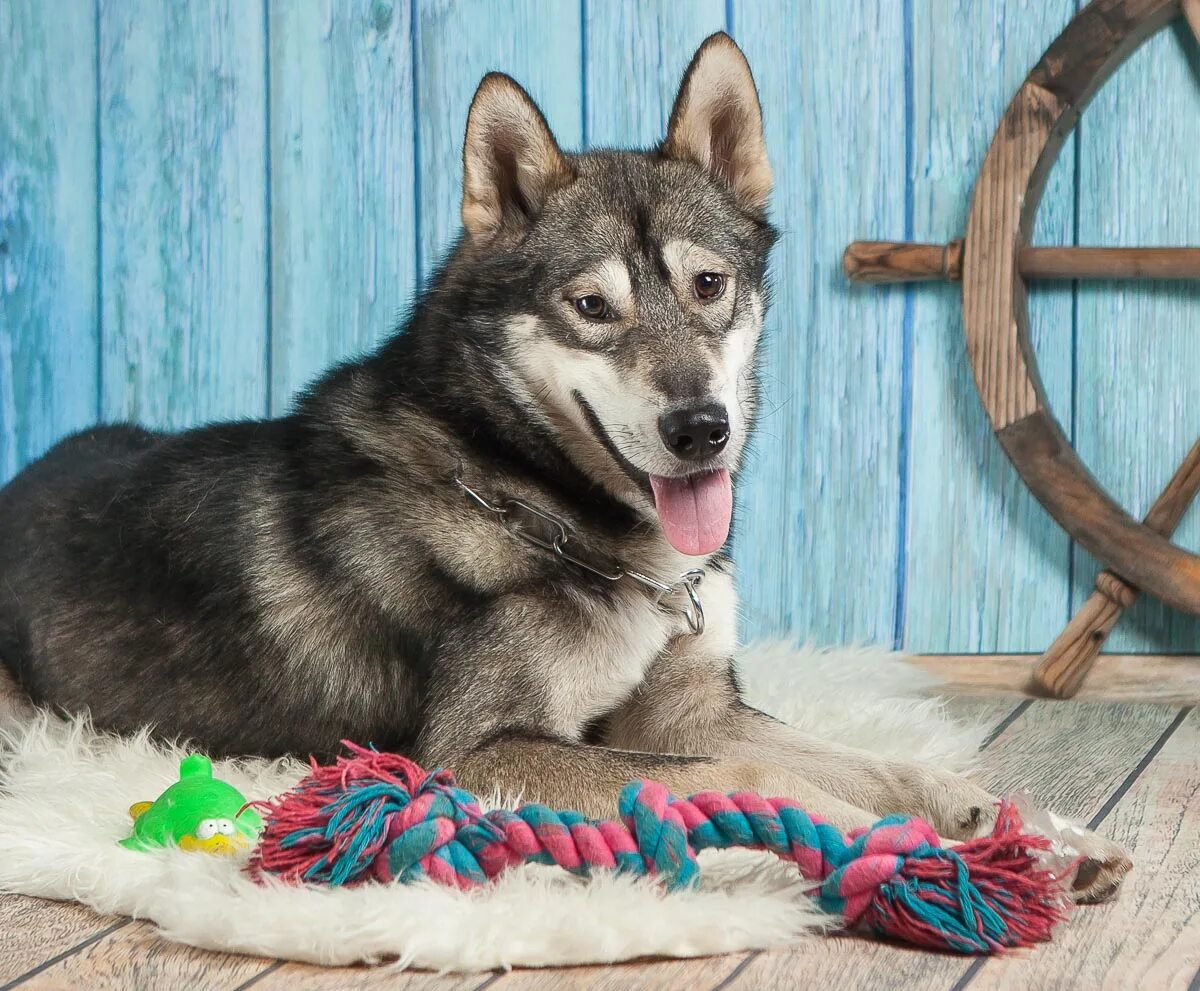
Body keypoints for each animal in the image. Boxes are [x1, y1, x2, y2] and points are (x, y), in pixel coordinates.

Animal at [0, 32, 1128, 897]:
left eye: (710, 284)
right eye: (591, 307)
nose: (701, 428)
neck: (530, 493)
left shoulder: (690, 703)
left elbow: (871, 755)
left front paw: (1019, 825)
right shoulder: (478, 748)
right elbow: (752, 770)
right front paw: (920, 846)